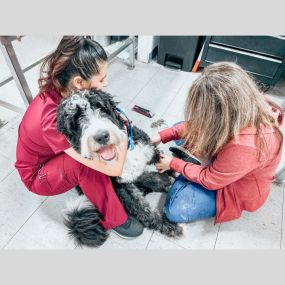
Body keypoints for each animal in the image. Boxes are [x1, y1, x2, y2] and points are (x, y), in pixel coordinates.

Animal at [56, 89, 183, 246]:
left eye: (100, 107)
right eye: (76, 119)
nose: (101, 136)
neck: (120, 154)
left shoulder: (151, 152)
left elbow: (165, 165)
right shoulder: (122, 186)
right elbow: (143, 209)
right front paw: (167, 225)